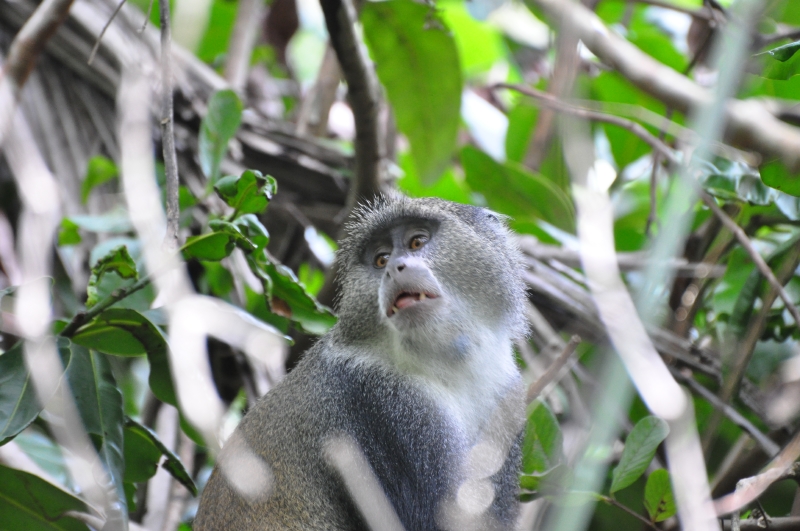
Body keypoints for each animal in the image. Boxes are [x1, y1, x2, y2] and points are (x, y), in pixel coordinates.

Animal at [193, 196, 528, 531]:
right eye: (381, 260)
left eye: (417, 241)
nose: (394, 268)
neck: (452, 365)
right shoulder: (381, 398)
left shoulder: (507, 395)